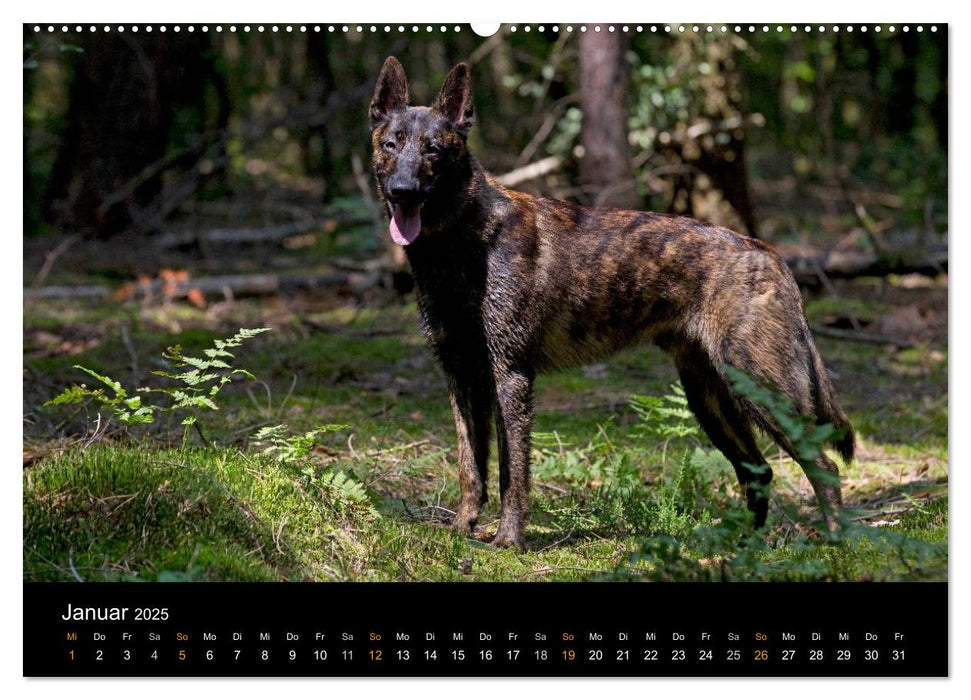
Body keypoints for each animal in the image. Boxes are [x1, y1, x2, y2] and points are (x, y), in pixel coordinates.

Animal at [368, 57, 856, 548]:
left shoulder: (511, 377)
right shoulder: (463, 377)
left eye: (433, 151)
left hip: (761, 393)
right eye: (391, 144)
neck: (462, 243)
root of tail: (770, 254)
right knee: (759, 472)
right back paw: (740, 548)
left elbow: (512, 473)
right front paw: (461, 528)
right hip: (710, 400)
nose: (403, 191)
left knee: (824, 466)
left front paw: (509, 540)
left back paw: (834, 543)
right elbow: (471, 466)